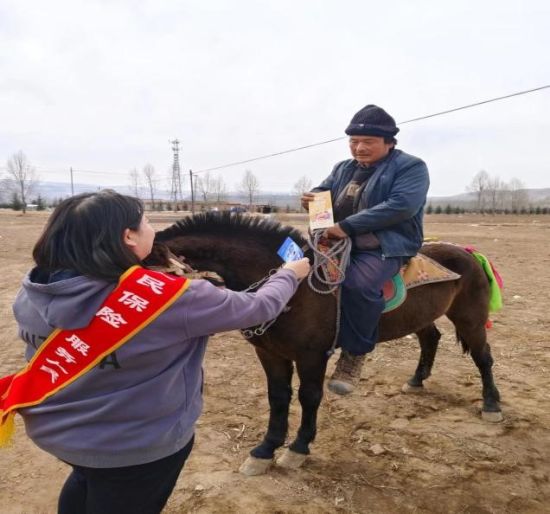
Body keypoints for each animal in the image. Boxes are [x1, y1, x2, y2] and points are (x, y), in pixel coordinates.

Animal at [153, 211, 502, 472]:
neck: (292, 284)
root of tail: (468, 252)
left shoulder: (312, 356)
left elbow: (308, 397)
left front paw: (297, 448)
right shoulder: (270, 354)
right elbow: (278, 398)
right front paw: (265, 450)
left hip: (470, 319)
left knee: (483, 357)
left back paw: (491, 404)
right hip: (421, 317)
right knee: (431, 338)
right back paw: (417, 380)